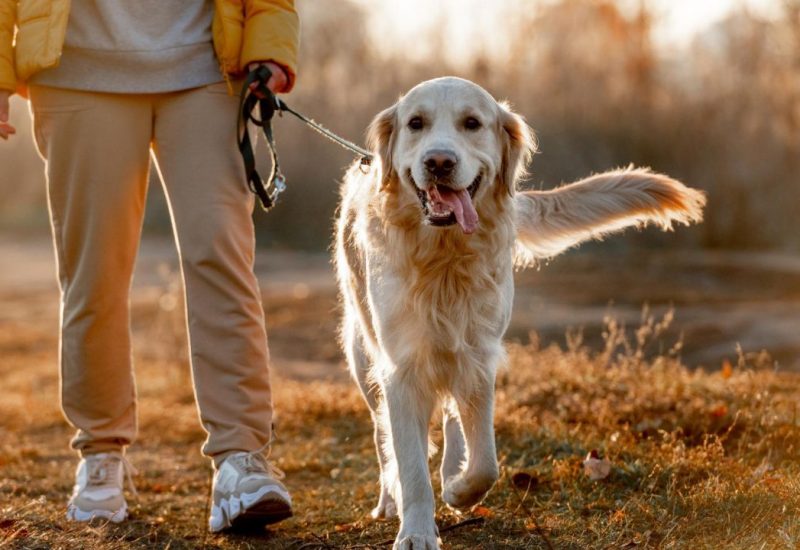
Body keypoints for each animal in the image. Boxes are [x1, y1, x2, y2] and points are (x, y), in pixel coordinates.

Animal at [334, 75, 704, 548]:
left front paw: (460, 489)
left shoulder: (479, 354)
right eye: (415, 123)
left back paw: (450, 471)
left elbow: (486, 462)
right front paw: (416, 530)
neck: (445, 260)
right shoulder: (401, 366)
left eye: (472, 123)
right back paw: (389, 498)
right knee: (383, 436)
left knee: (452, 421)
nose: (439, 162)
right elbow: (410, 462)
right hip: (363, 357)